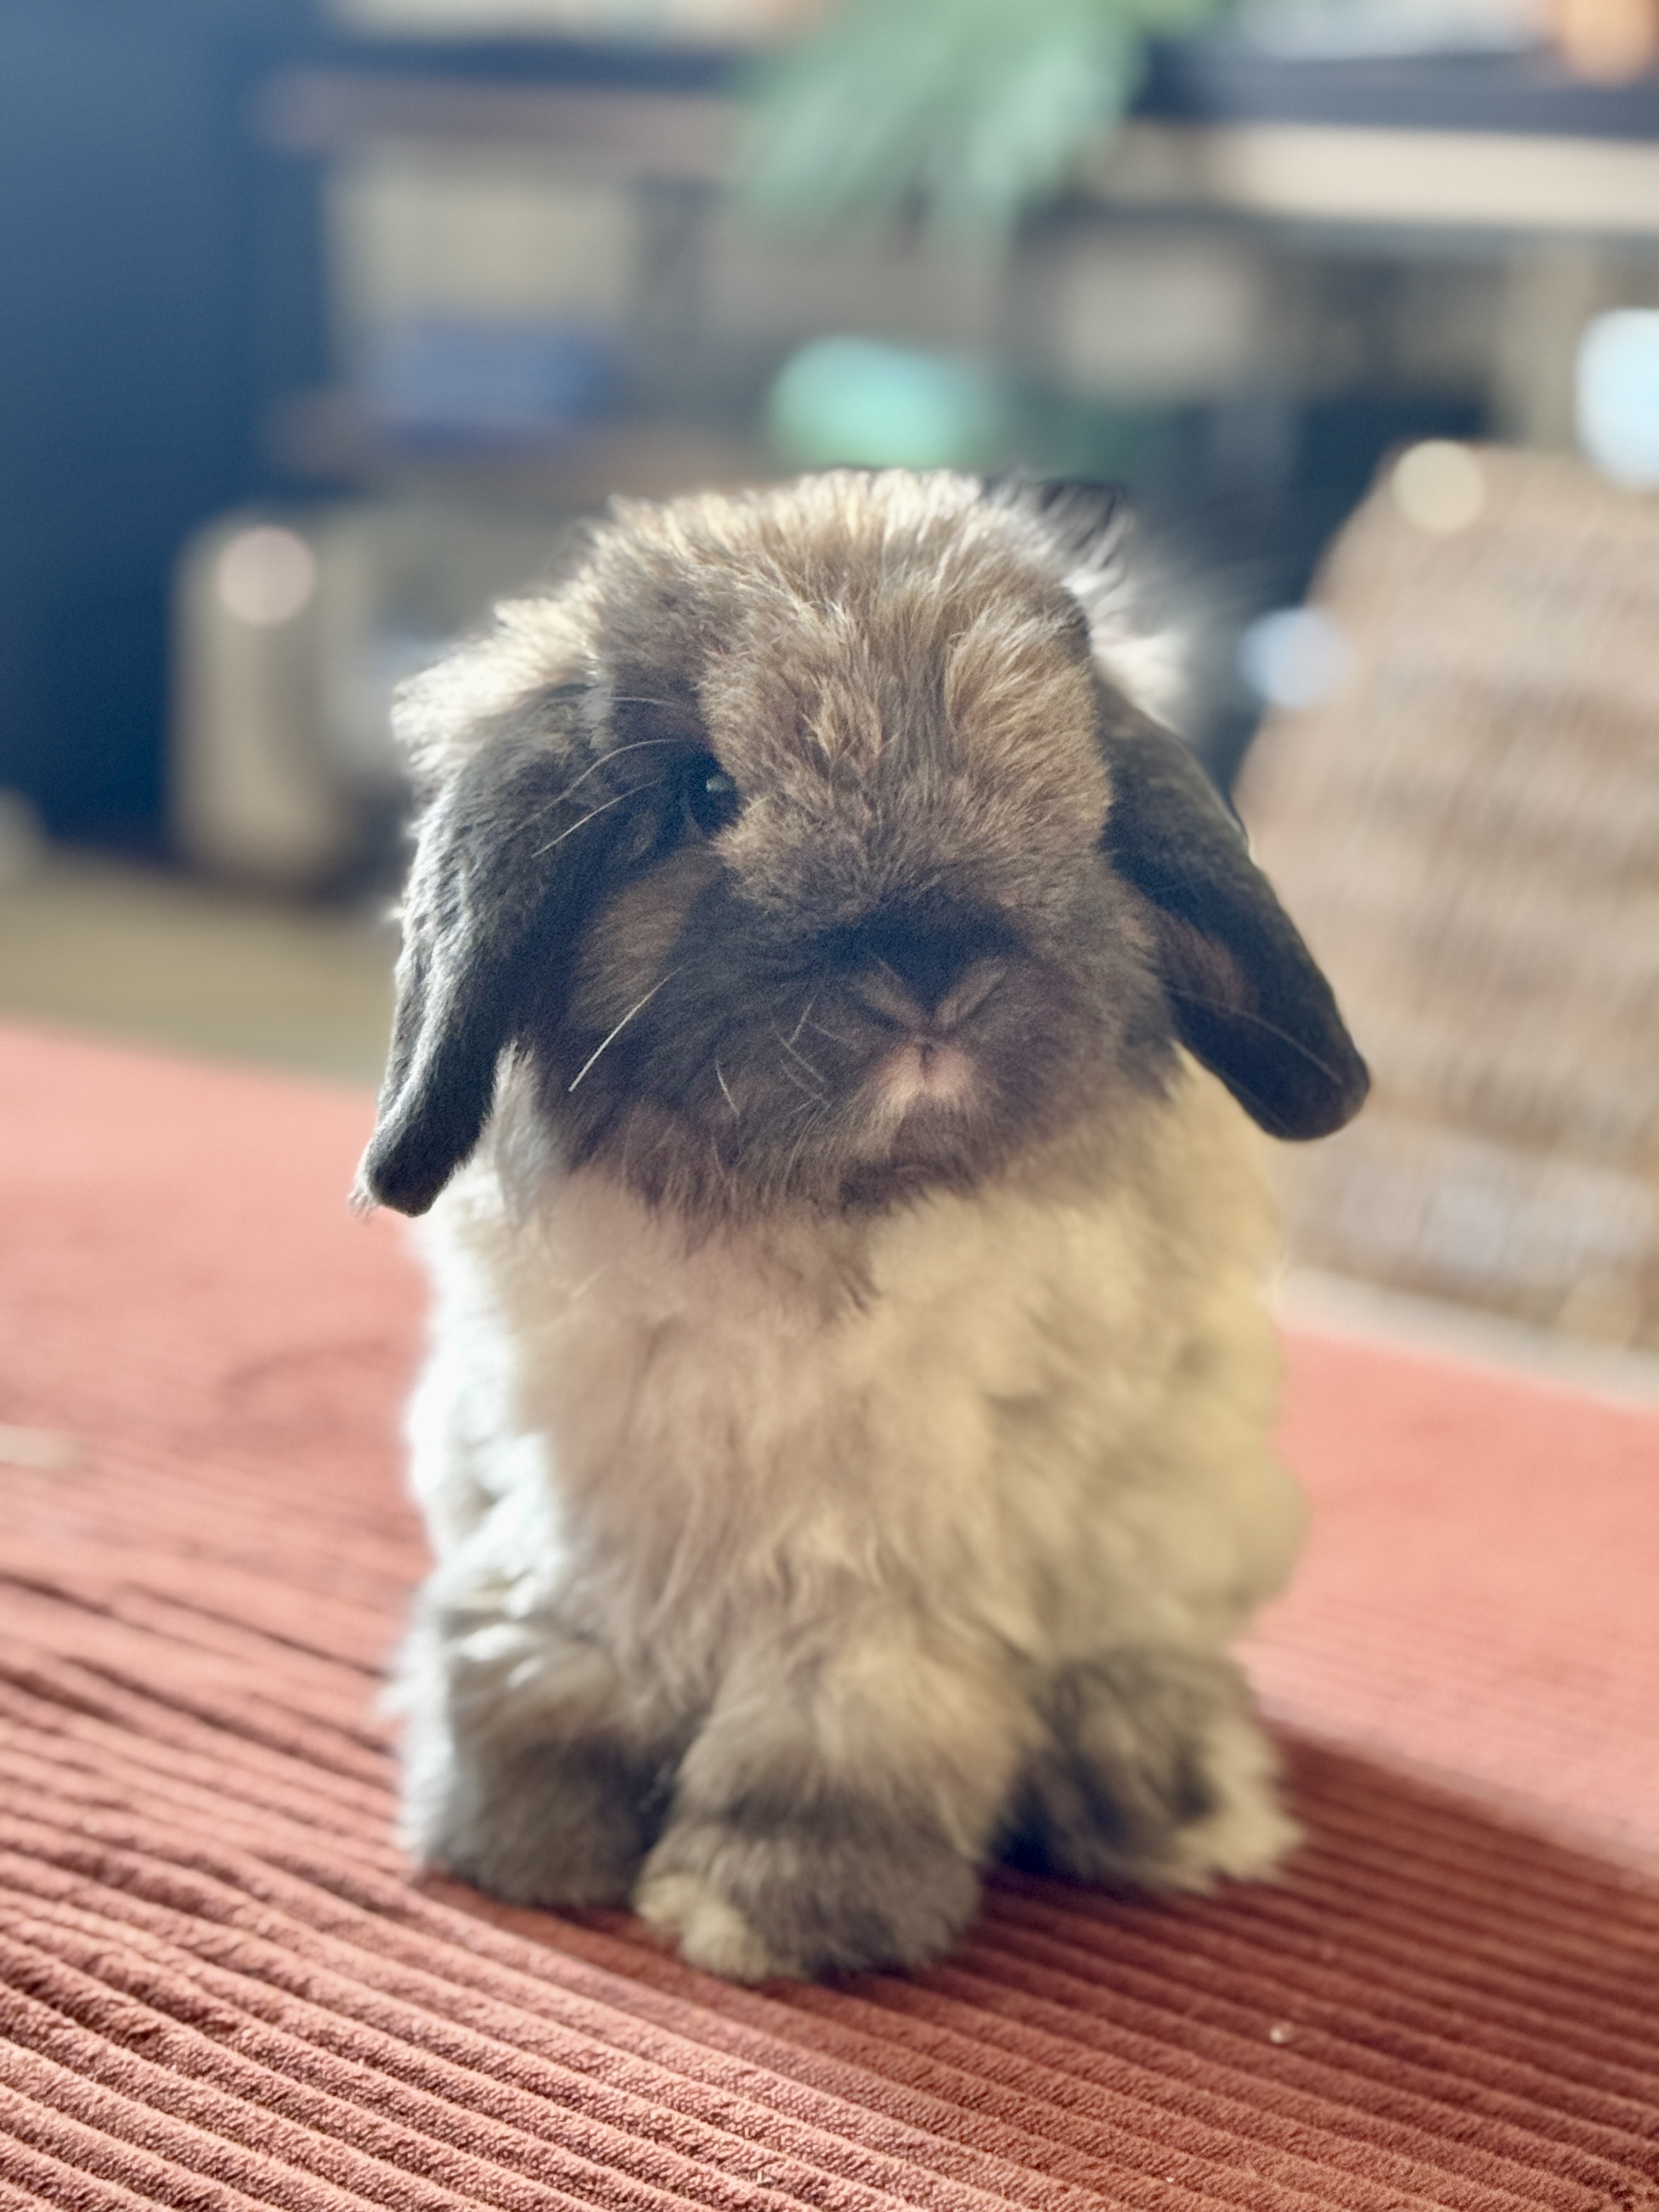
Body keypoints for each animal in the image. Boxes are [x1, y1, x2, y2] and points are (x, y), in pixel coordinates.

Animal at [357, 468, 1368, 1982]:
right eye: (705, 791)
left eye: (1079, 803)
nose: (932, 970)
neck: (820, 1211)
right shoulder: (578, 1517)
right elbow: (540, 1665)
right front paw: (523, 1850)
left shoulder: (886, 1577)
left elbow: (840, 1738)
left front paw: (769, 1913)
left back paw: (1163, 1812)